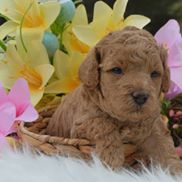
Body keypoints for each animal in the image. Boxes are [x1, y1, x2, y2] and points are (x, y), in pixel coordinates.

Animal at [46, 26, 182, 173]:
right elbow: (103, 123)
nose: (141, 96)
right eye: (116, 70)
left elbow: (164, 145)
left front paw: (174, 170)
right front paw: (110, 160)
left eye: (155, 73)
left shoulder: (151, 124)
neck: (125, 119)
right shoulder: (80, 124)